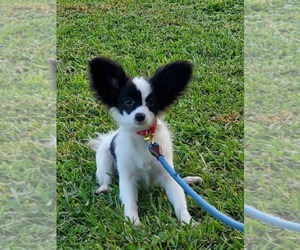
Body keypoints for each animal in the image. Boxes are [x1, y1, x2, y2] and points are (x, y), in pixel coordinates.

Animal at [88, 57, 202, 226]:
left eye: (152, 102)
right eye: (128, 101)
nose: (140, 116)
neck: (144, 137)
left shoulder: (166, 171)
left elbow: (179, 200)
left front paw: (188, 222)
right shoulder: (127, 177)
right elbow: (129, 202)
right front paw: (133, 223)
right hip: (104, 159)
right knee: (105, 179)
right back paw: (104, 189)